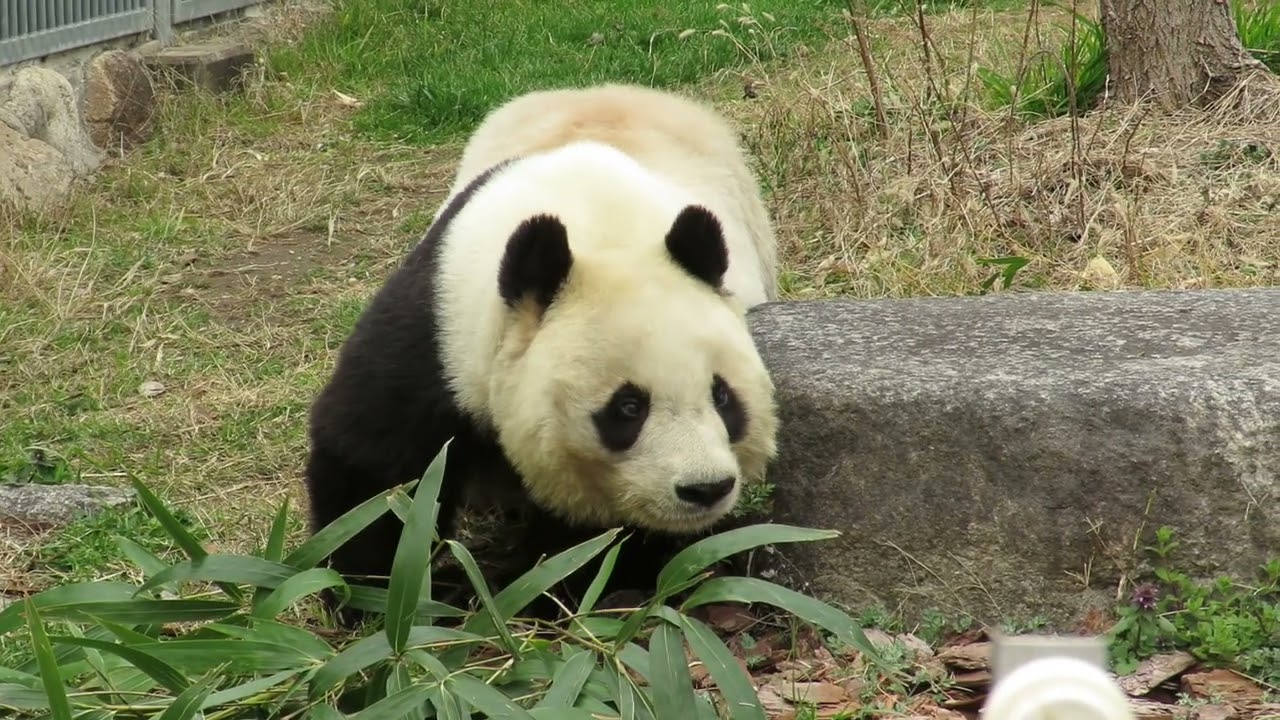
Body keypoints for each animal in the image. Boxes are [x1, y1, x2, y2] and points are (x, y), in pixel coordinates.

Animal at [304, 83, 780, 624]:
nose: (705, 488)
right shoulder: (442, 323)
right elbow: (378, 469)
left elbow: (597, 545)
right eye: (628, 407)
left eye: (723, 397)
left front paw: (503, 589)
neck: (600, 230)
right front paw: (375, 595)